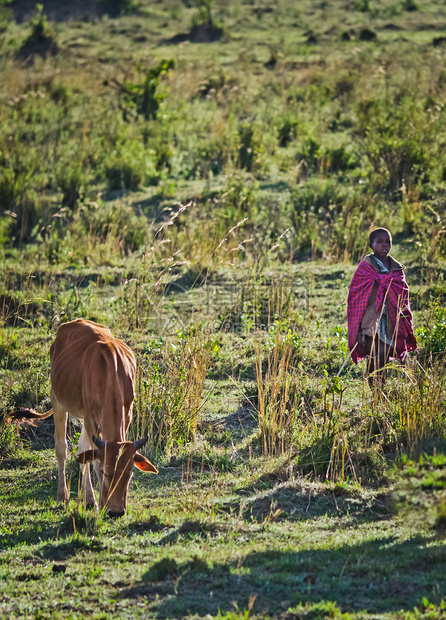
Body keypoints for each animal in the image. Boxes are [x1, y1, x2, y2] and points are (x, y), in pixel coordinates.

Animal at [9, 318, 158, 516]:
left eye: (129, 474)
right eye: (104, 472)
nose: (116, 512)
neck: (112, 372)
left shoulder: (126, 415)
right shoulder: (90, 418)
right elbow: (90, 457)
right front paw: (96, 502)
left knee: (81, 449)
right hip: (58, 401)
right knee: (62, 448)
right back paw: (63, 496)